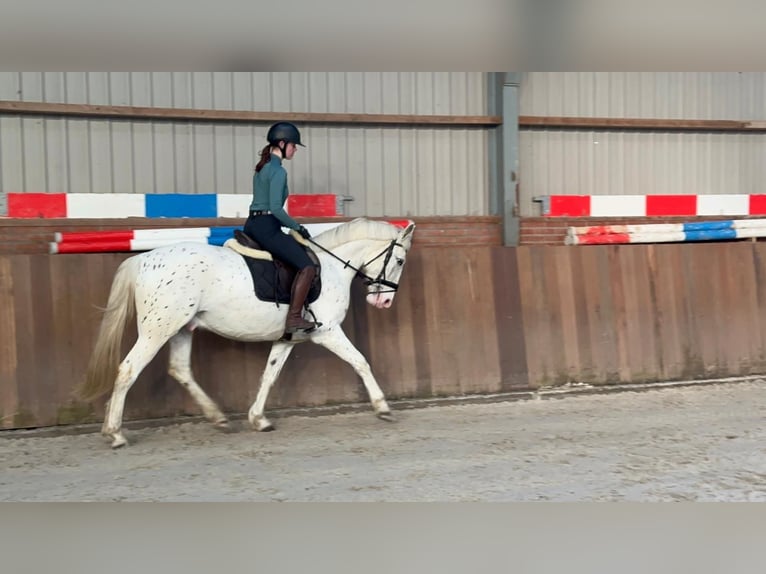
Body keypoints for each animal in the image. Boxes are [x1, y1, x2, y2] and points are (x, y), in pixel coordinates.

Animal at [77, 218, 414, 448]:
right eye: (399, 260)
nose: (383, 302)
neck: (332, 266)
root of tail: (142, 259)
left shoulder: (287, 338)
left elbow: (269, 375)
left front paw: (259, 419)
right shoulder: (328, 332)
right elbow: (361, 361)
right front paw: (382, 407)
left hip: (181, 328)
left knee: (180, 369)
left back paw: (218, 418)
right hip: (157, 330)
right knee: (128, 370)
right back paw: (115, 433)